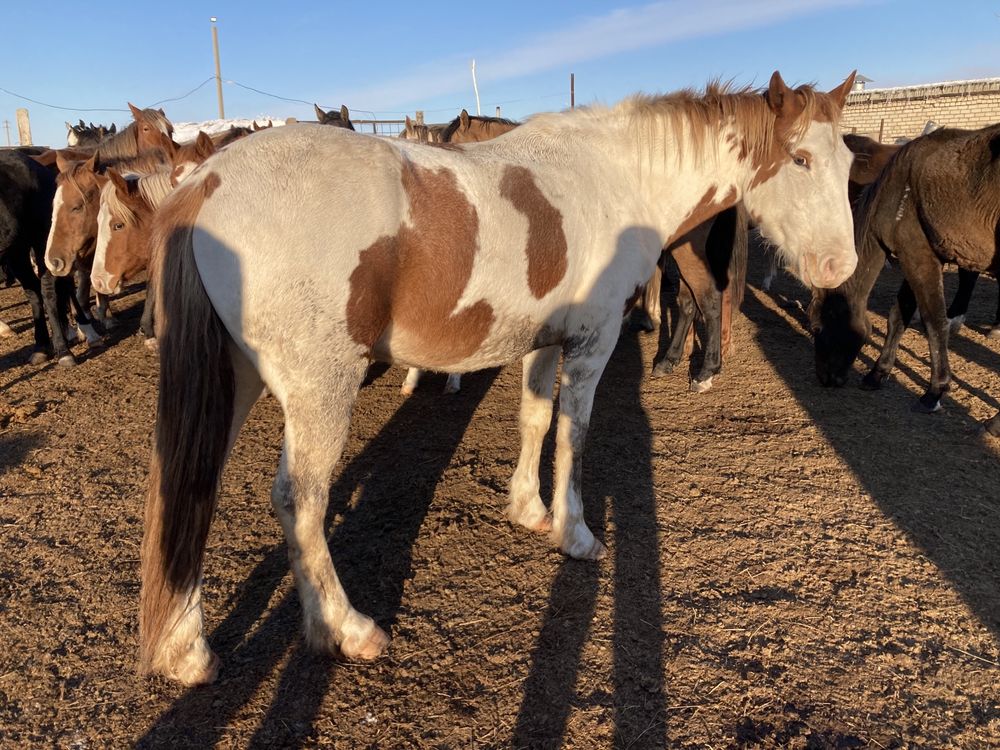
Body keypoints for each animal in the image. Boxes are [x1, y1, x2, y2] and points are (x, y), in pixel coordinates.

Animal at [137, 72, 860, 688]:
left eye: (851, 164)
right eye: (800, 159)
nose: (839, 267)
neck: (617, 176)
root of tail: (208, 181)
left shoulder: (546, 341)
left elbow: (535, 420)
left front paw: (528, 511)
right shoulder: (593, 340)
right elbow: (573, 435)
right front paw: (574, 534)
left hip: (235, 381)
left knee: (190, 491)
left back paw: (188, 651)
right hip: (319, 390)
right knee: (301, 502)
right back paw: (348, 628)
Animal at [812, 121, 1000, 432]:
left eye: (817, 327)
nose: (824, 378)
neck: (899, 190)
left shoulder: (918, 255)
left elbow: (934, 322)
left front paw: (934, 392)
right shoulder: (914, 255)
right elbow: (898, 316)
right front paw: (877, 373)